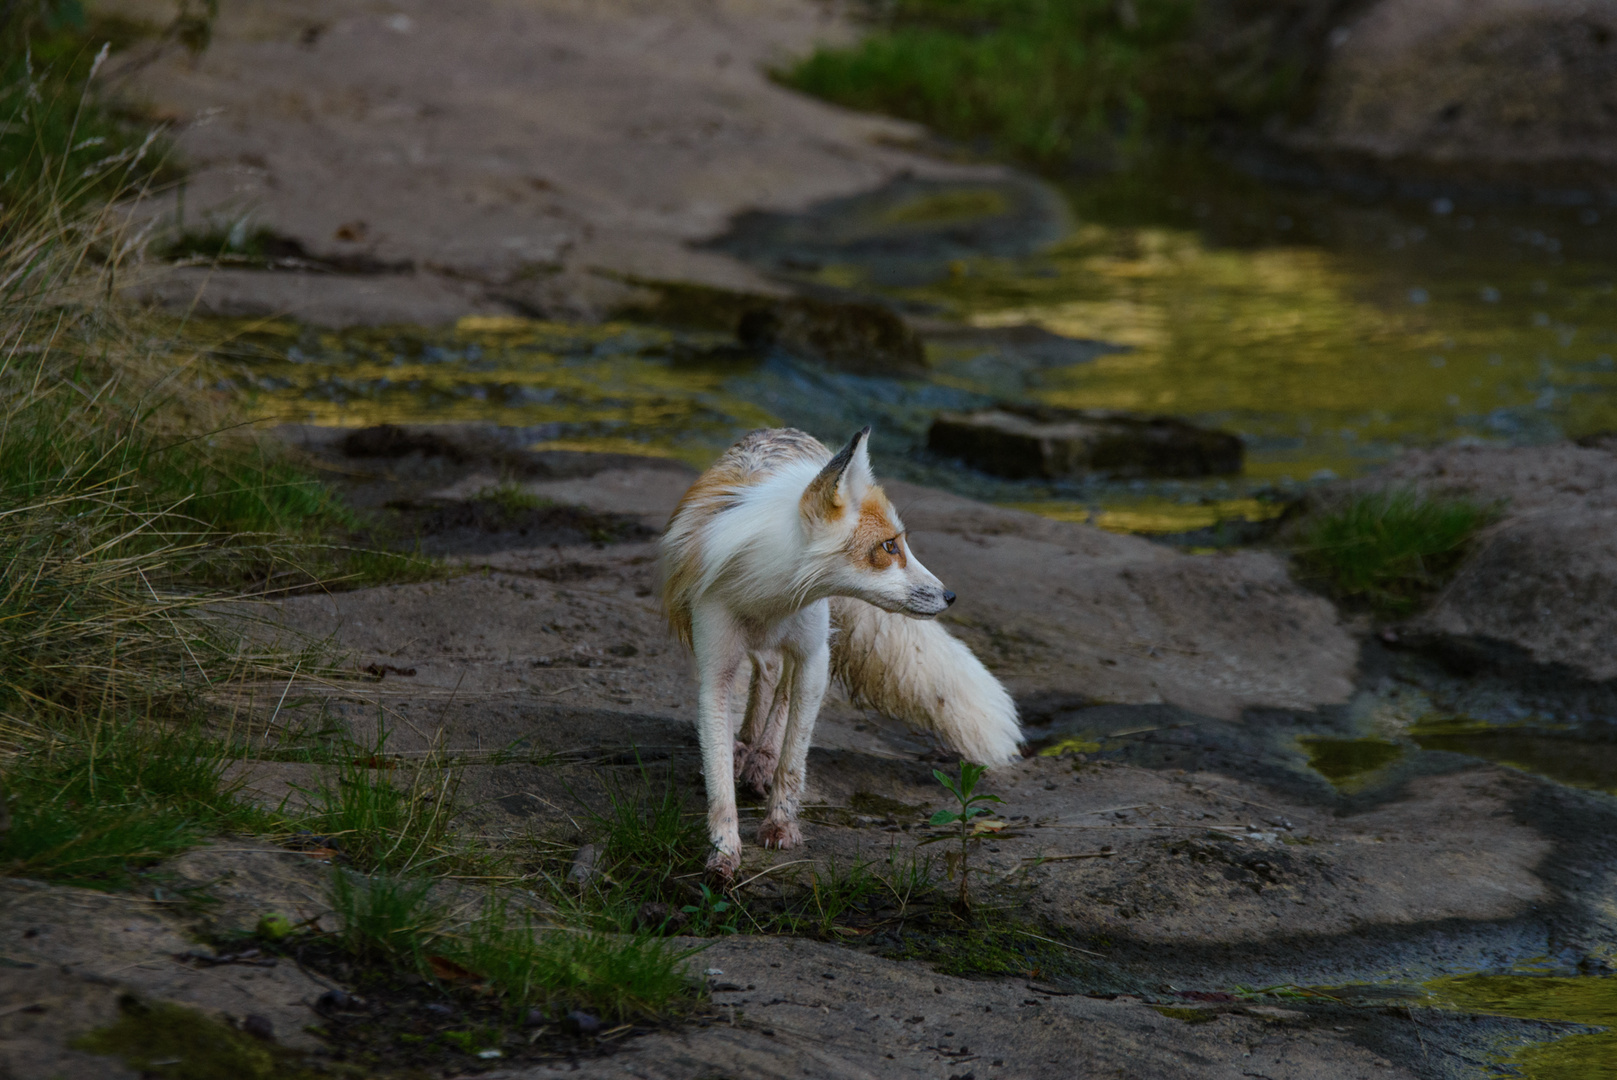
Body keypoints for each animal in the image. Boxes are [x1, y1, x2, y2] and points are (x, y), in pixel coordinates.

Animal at [659, 423, 1021, 879]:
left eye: (901, 543)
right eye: (889, 547)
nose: (950, 596)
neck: (768, 598)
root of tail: (785, 430)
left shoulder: (814, 655)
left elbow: (793, 760)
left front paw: (780, 823)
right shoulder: (715, 665)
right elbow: (719, 782)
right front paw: (723, 853)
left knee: (779, 690)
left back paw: (761, 758)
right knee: (766, 676)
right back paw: (747, 747)